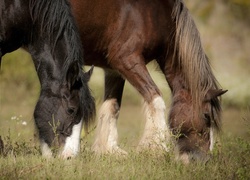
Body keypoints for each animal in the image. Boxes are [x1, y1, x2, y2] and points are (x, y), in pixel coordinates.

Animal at [71, 0, 227, 163]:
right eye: (206, 116)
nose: (203, 160)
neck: (154, 13)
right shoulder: (126, 60)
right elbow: (155, 99)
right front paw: (156, 150)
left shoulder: (113, 69)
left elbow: (113, 106)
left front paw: (109, 150)